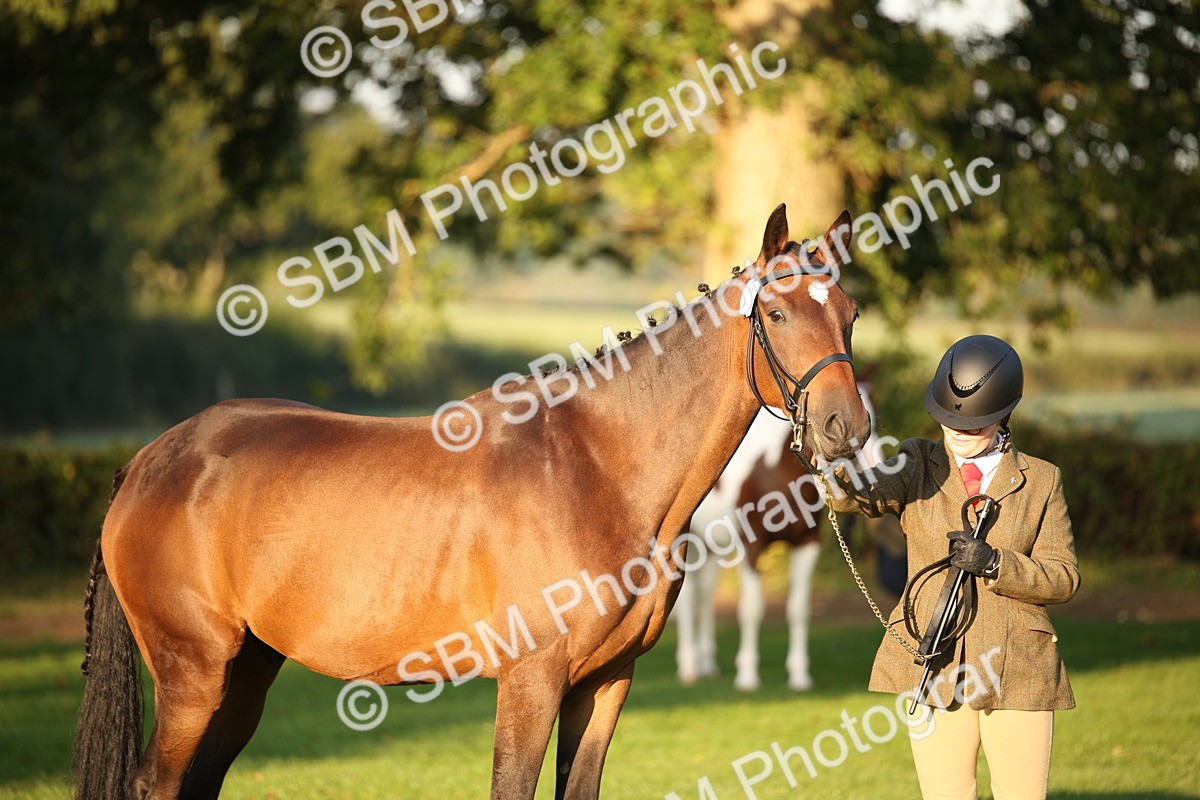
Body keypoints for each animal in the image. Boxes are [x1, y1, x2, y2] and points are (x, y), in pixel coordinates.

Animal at [673, 380, 884, 691]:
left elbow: (798, 608)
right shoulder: (752, 546)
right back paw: (689, 668)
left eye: (874, 412)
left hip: (712, 546)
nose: (873, 465)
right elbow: (751, 608)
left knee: (705, 594)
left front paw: (799, 675)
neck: (773, 472)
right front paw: (747, 675)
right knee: (687, 600)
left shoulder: (807, 545)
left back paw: (707, 664)